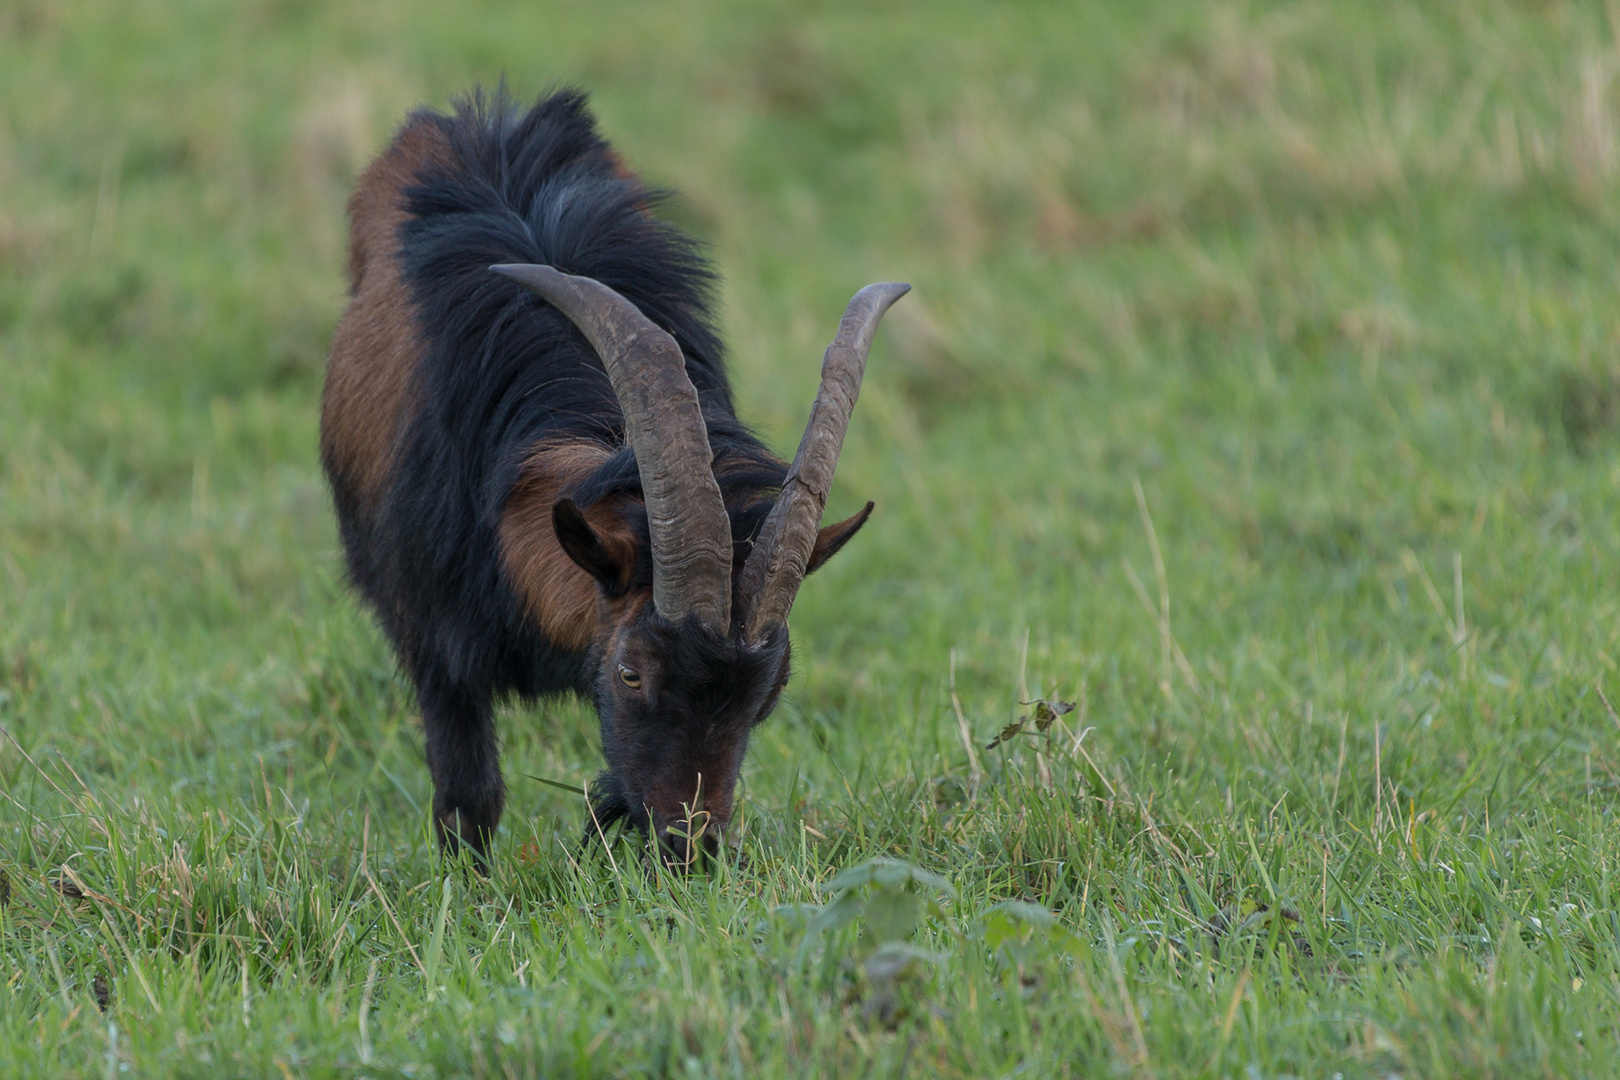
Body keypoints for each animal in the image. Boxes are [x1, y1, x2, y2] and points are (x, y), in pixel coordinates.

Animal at [315, 88, 900, 867]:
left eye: (772, 688)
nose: (692, 847)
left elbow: (614, 790)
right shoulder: (431, 638)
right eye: (631, 672)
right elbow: (468, 800)